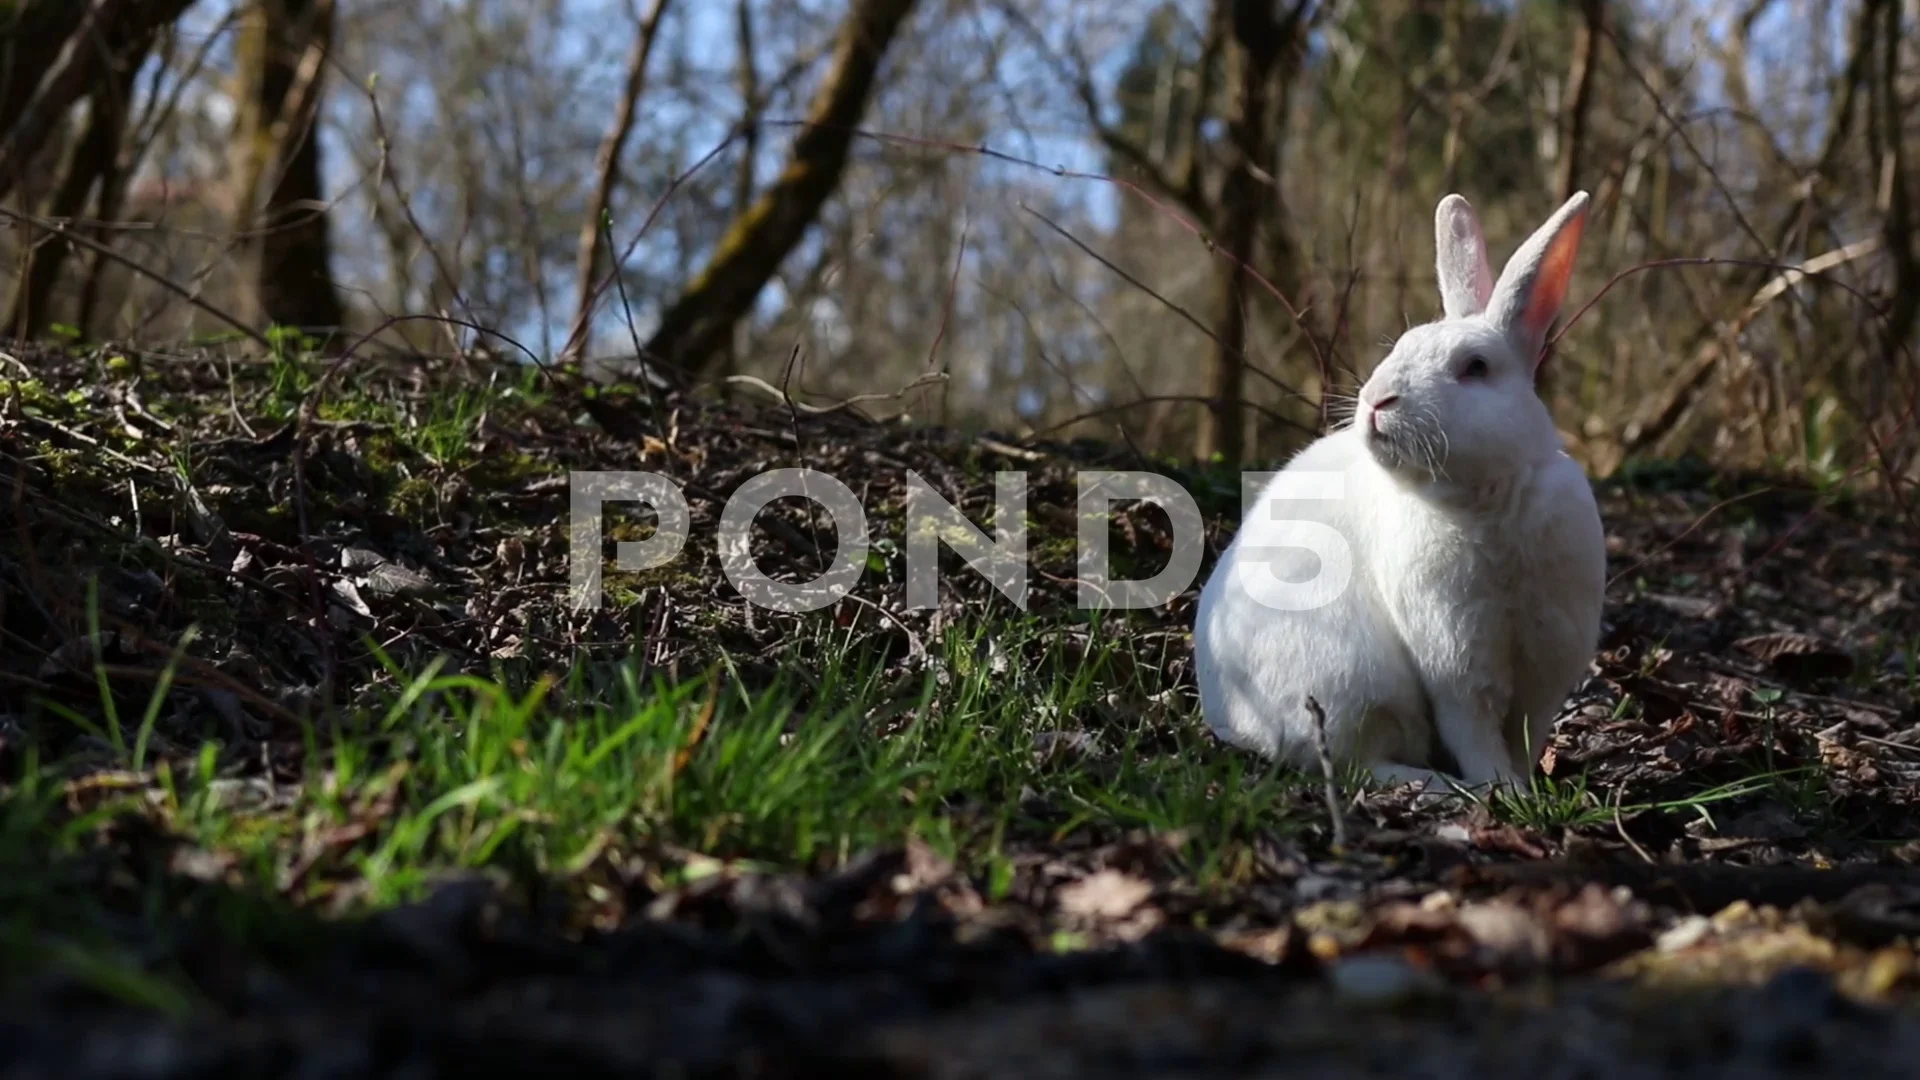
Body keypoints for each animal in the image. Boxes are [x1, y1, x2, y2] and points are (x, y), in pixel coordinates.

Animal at [1198, 189, 1605, 787]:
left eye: (1475, 367)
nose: (1376, 400)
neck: (1487, 503)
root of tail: (1235, 721)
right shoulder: (1457, 663)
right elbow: (1477, 734)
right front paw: (1503, 791)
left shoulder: (1545, 665)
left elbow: (1524, 734)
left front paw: (1527, 788)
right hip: (1356, 686)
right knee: (1360, 762)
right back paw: (1438, 786)